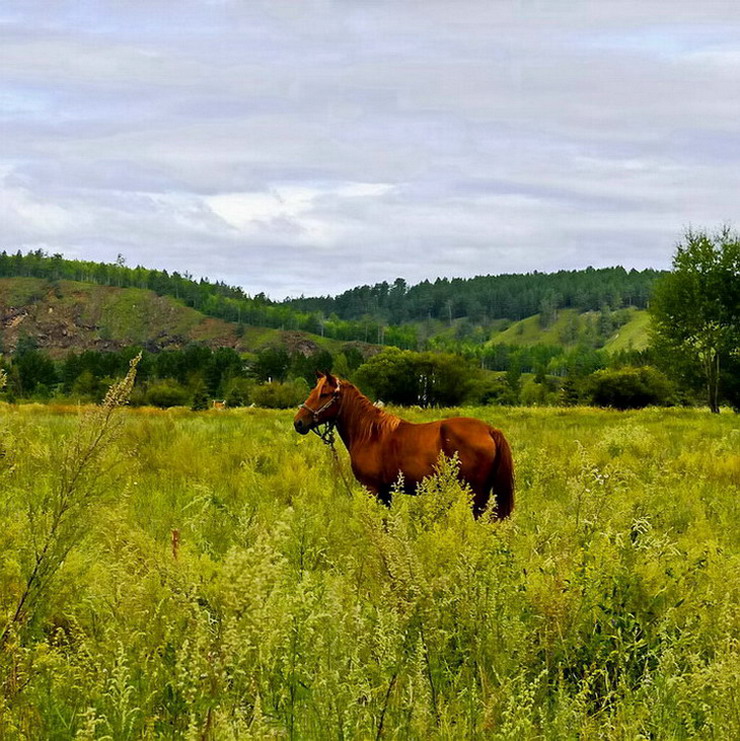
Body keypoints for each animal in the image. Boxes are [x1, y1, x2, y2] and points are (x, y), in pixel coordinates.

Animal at [292, 370, 512, 520]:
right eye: (314, 390)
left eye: (324, 394)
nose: (298, 422)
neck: (370, 434)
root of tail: (490, 430)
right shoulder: (386, 492)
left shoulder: (372, 489)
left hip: (476, 493)